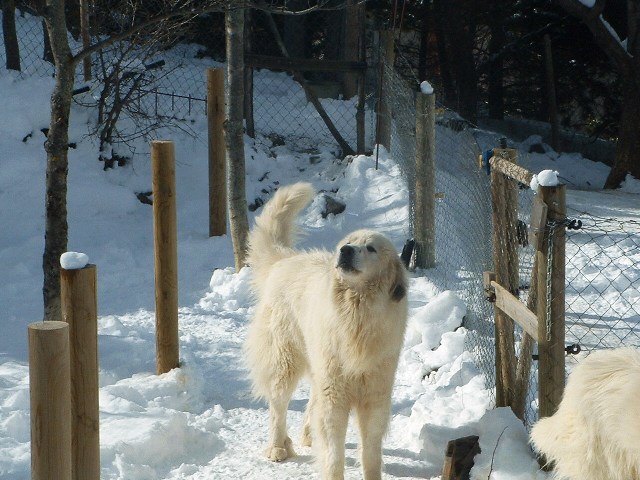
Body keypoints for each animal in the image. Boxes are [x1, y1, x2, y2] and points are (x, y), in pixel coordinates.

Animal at [242, 182, 408, 478]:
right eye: (347, 243)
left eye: (371, 248)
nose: (346, 251)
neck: (358, 312)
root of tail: (285, 260)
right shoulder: (335, 395)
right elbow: (334, 452)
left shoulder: (375, 397)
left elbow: (371, 452)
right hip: (285, 360)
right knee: (278, 407)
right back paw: (278, 447)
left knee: (310, 402)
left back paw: (307, 435)